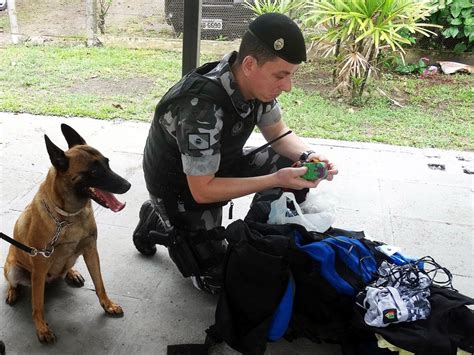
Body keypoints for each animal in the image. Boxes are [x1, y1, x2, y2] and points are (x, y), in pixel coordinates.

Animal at [2, 125, 131, 344]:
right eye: (93, 171)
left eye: (107, 163)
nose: (127, 185)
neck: (68, 217)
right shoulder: (40, 265)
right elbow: (38, 305)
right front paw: (42, 328)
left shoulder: (91, 250)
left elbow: (100, 283)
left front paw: (107, 304)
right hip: (13, 269)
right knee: (14, 283)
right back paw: (13, 292)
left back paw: (71, 272)